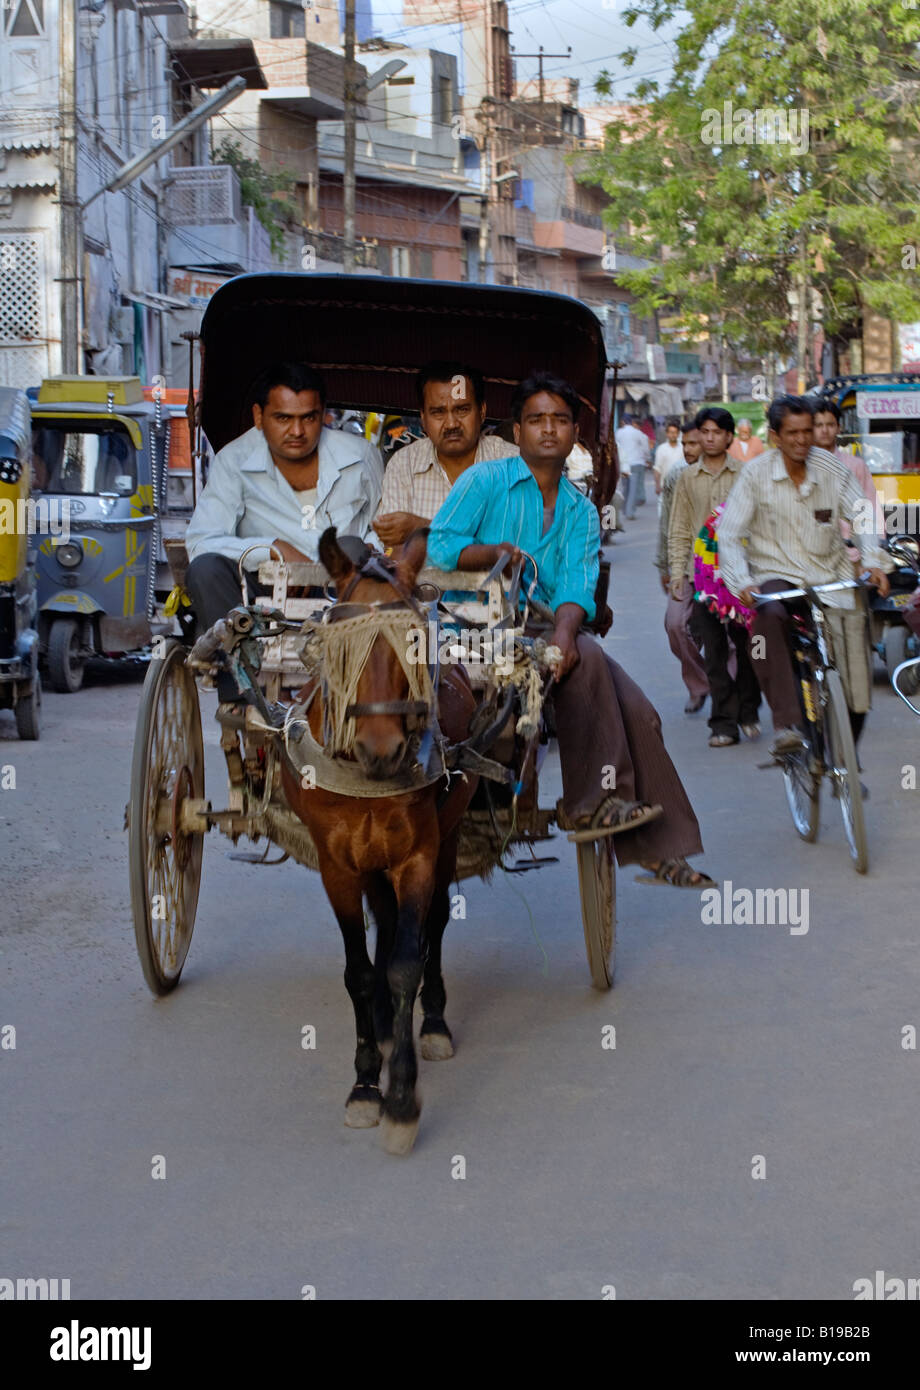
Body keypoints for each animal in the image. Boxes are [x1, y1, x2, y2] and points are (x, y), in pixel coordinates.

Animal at [280, 522, 478, 1150]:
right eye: (340, 650)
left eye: (415, 641)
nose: (382, 749)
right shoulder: (338, 866)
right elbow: (361, 973)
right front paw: (366, 1083)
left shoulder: (417, 855)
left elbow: (405, 964)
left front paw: (400, 1099)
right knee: (385, 926)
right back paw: (391, 1026)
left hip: (448, 832)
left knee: (431, 926)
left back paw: (429, 1021)